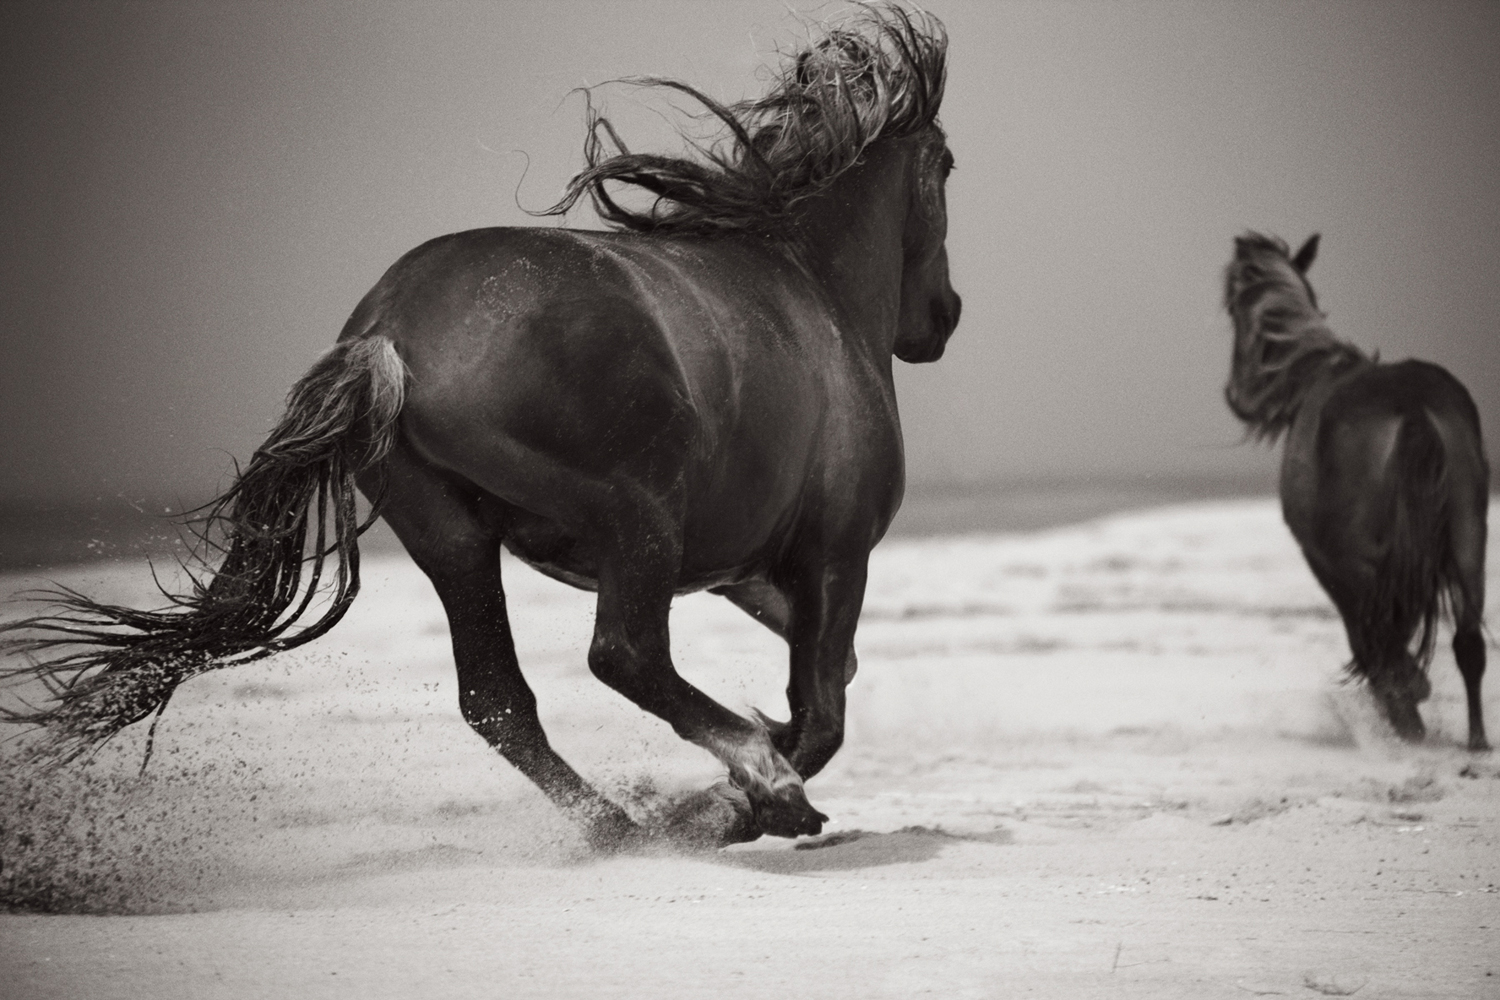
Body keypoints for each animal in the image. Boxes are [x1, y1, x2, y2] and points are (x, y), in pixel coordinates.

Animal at [0, 7, 960, 851]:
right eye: (946, 166)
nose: (943, 317)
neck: (812, 289)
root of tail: (386, 331)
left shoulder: (745, 571)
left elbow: (826, 683)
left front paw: (719, 798)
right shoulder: (835, 552)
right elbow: (823, 710)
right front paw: (737, 802)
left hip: (452, 538)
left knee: (498, 700)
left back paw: (619, 827)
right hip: (636, 519)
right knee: (623, 657)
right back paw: (738, 794)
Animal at [1230, 232, 1488, 749]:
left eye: (1231, 307)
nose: (1236, 395)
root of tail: (1412, 407)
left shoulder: (1325, 558)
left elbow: (1367, 634)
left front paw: (1404, 700)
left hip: (1364, 558)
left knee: (1384, 635)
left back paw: (1407, 713)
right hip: (1470, 538)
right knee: (1469, 644)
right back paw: (1476, 741)